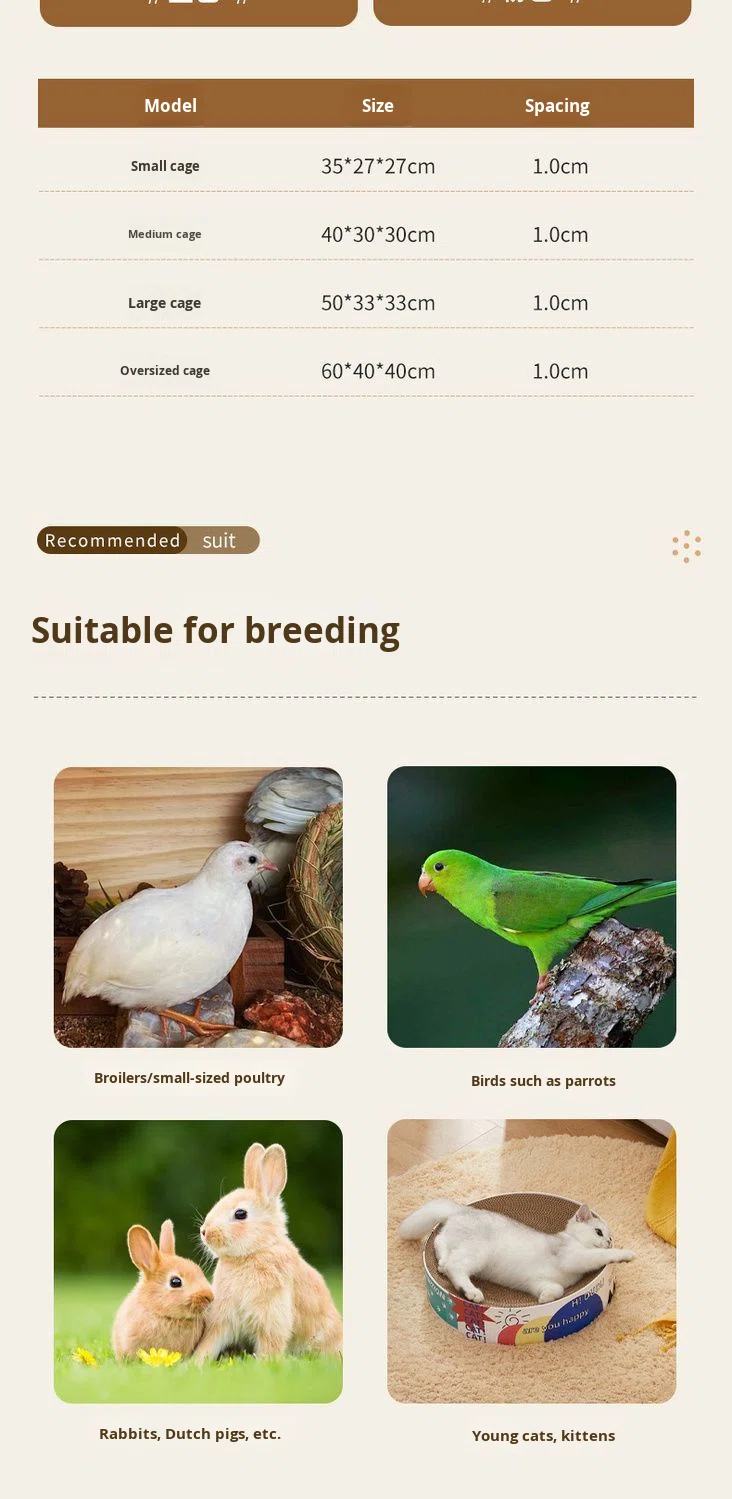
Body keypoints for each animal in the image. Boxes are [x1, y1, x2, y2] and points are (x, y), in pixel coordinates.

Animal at [195, 1142, 343, 1363]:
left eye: (240, 1214)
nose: (204, 1231)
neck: (255, 1251)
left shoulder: (272, 1318)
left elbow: (270, 1345)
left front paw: (265, 1364)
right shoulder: (223, 1318)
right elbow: (209, 1344)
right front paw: (192, 1363)